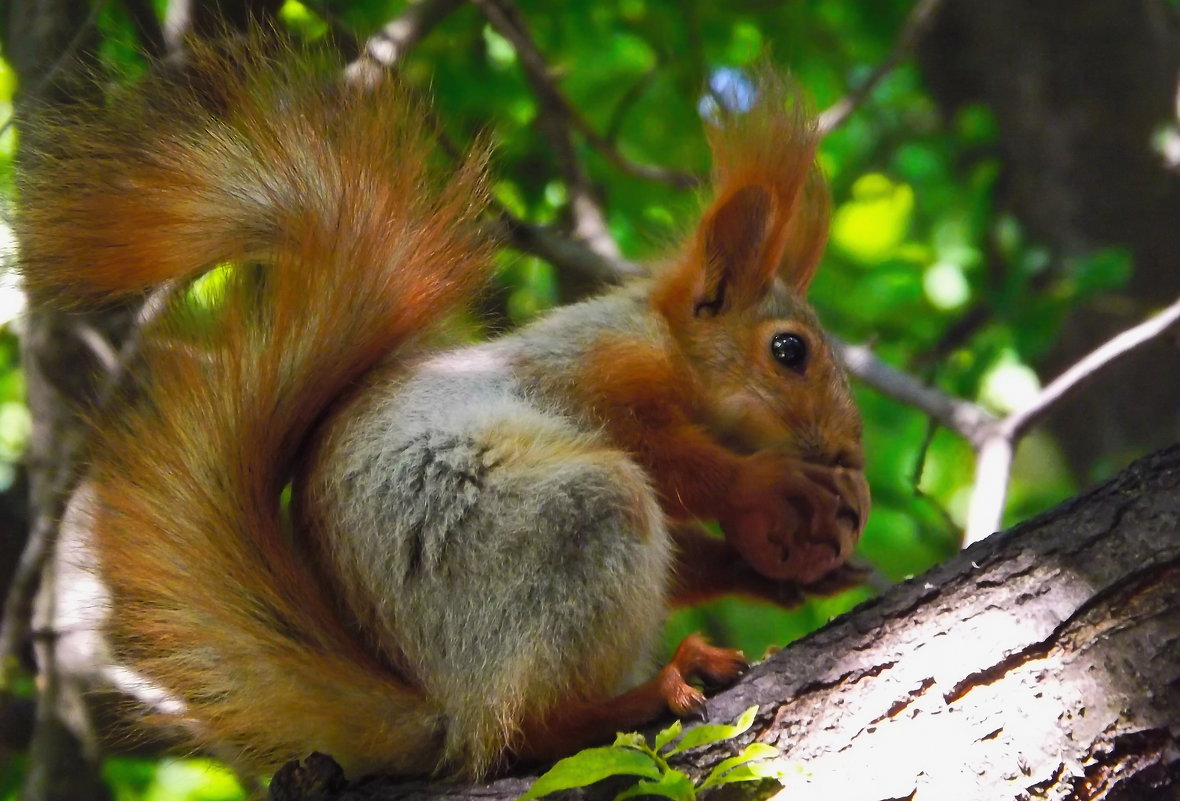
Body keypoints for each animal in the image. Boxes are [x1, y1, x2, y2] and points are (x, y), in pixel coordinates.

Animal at [16, 43, 868, 783]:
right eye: (788, 351)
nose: (851, 455)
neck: (667, 343)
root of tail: (444, 705)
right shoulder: (602, 374)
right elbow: (677, 461)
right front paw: (774, 485)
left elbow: (687, 557)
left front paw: (783, 572)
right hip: (574, 523)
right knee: (525, 731)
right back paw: (657, 683)